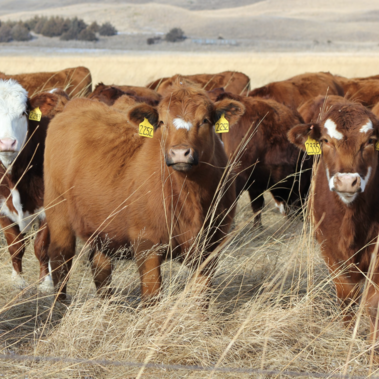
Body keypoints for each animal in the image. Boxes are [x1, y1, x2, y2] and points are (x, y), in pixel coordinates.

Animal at [0, 80, 67, 290]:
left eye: (23, 113)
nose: (7, 143)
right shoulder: (2, 209)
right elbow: (15, 246)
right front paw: (17, 280)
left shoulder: (48, 207)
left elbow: (41, 247)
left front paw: (45, 283)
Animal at [290, 99, 379, 346]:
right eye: (325, 141)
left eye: (370, 141)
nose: (347, 181)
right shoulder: (329, 250)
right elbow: (346, 300)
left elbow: (373, 305)